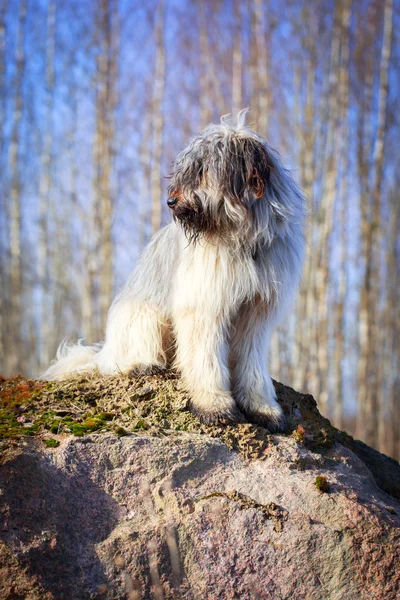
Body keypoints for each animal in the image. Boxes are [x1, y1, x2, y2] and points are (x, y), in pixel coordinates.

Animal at [40, 111, 304, 432]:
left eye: (202, 171)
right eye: (185, 172)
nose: (171, 201)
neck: (242, 239)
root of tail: (104, 351)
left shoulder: (256, 312)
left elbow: (251, 362)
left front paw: (262, 407)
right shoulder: (203, 305)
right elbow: (204, 359)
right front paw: (213, 404)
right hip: (142, 317)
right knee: (122, 359)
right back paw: (140, 364)